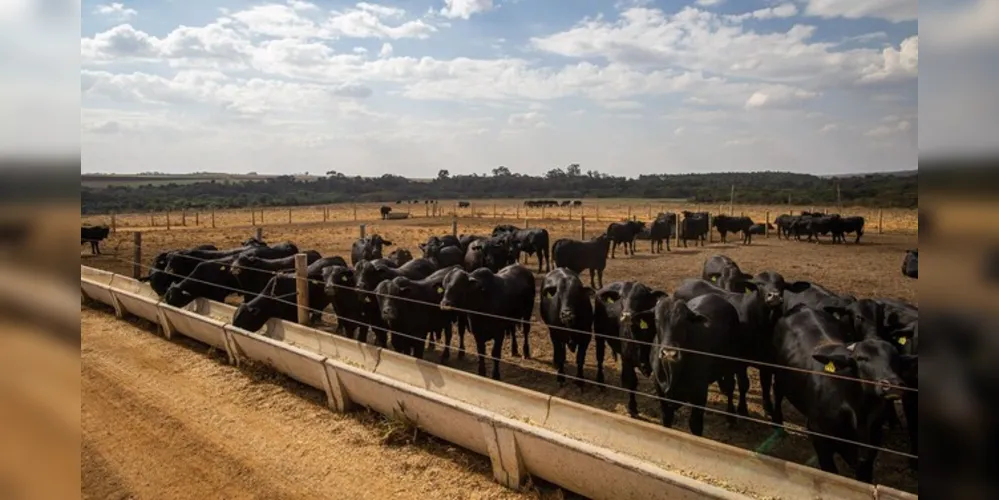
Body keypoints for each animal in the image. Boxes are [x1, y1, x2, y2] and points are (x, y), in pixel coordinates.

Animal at [596, 282, 668, 414]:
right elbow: (632, 382)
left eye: (641, 298)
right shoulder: (628, 359)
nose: (626, 315)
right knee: (599, 358)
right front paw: (632, 407)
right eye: (622, 297)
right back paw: (600, 383)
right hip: (599, 335)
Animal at [648, 294, 744, 436]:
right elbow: (666, 419)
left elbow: (695, 425)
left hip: (730, 363)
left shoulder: (700, 394)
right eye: (656, 319)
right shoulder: (661, 394)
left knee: (730, 388)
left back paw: (731, 418)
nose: (669, 353)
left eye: (684, 321)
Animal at [768, 306, 916, 482]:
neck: (858, 412)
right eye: (861, 358)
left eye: (896, 359)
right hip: (778, 373)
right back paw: (778, 426)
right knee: (777, 392)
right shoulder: (818, 436)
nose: (893, 385)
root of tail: (802, 307)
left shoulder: (871, 447)